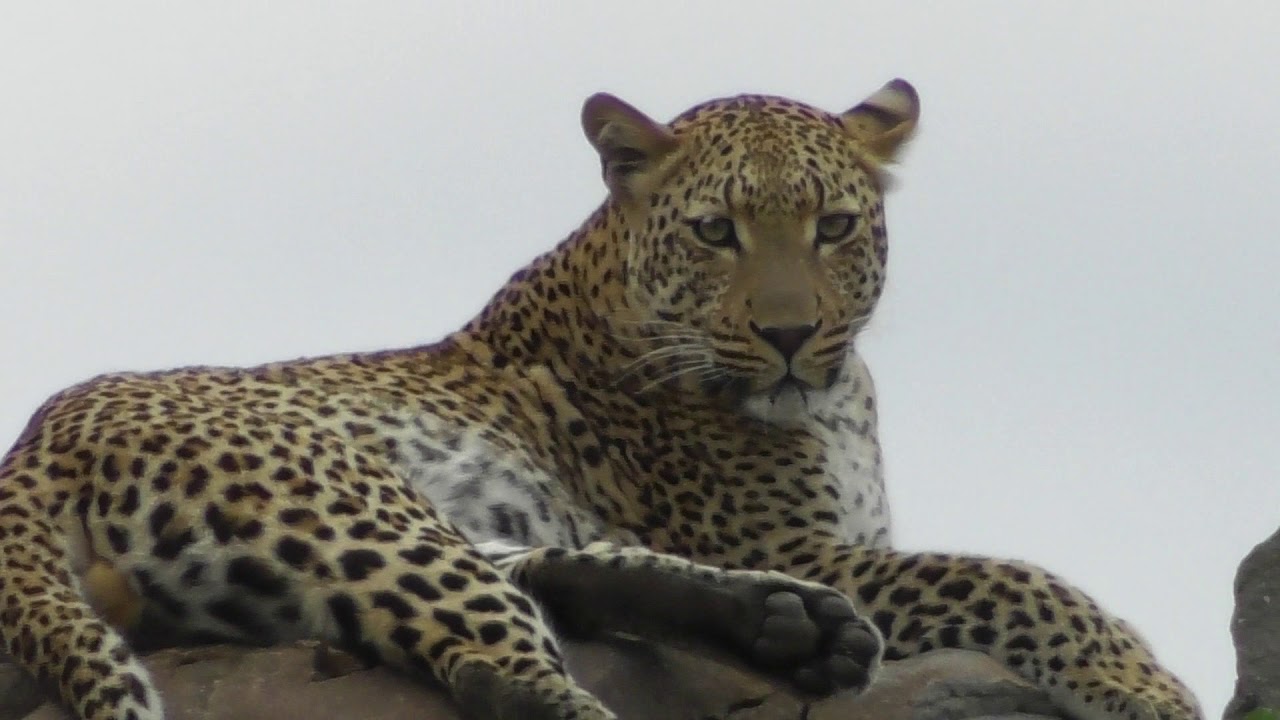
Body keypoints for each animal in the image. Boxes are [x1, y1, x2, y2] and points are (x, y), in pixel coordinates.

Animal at [0, 78, 1198, 717]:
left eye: (834, 228)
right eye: (716, 231)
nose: (788, 335)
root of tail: (35, 436)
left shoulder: (834, 547)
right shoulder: (812, 544)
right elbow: (1020, 579)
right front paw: (1138, 682)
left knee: (531, 584)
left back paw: (787, 631)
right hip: (347, 501)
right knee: (506, 662)